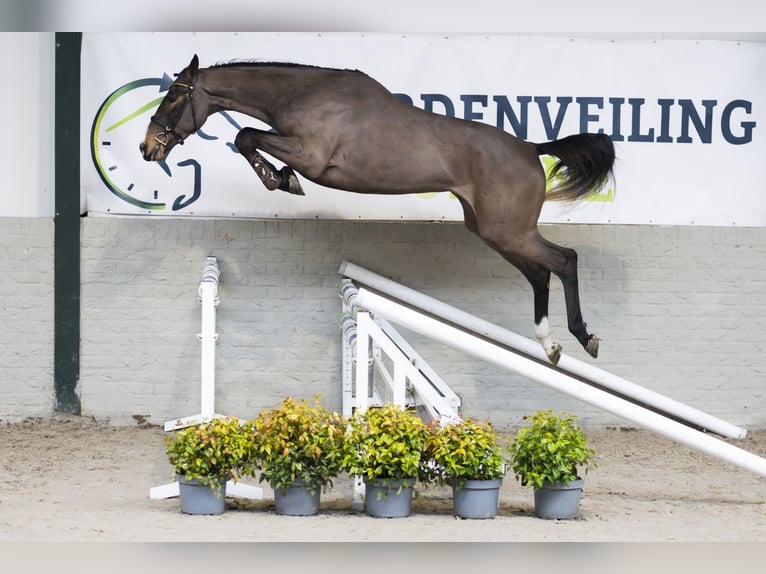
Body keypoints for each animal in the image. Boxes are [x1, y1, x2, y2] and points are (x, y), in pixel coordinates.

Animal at [140, 55, 615, 365]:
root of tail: (532, 148)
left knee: (564, 260)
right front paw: (280, 178)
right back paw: (550, 346)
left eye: (172, 100)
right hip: (491, 230)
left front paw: (282, 180)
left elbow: (247, 137)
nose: (148, 149)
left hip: (508, 230)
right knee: (540, 274)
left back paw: (584, 338)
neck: (304, 94)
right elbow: (247, 138)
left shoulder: (311, 156)